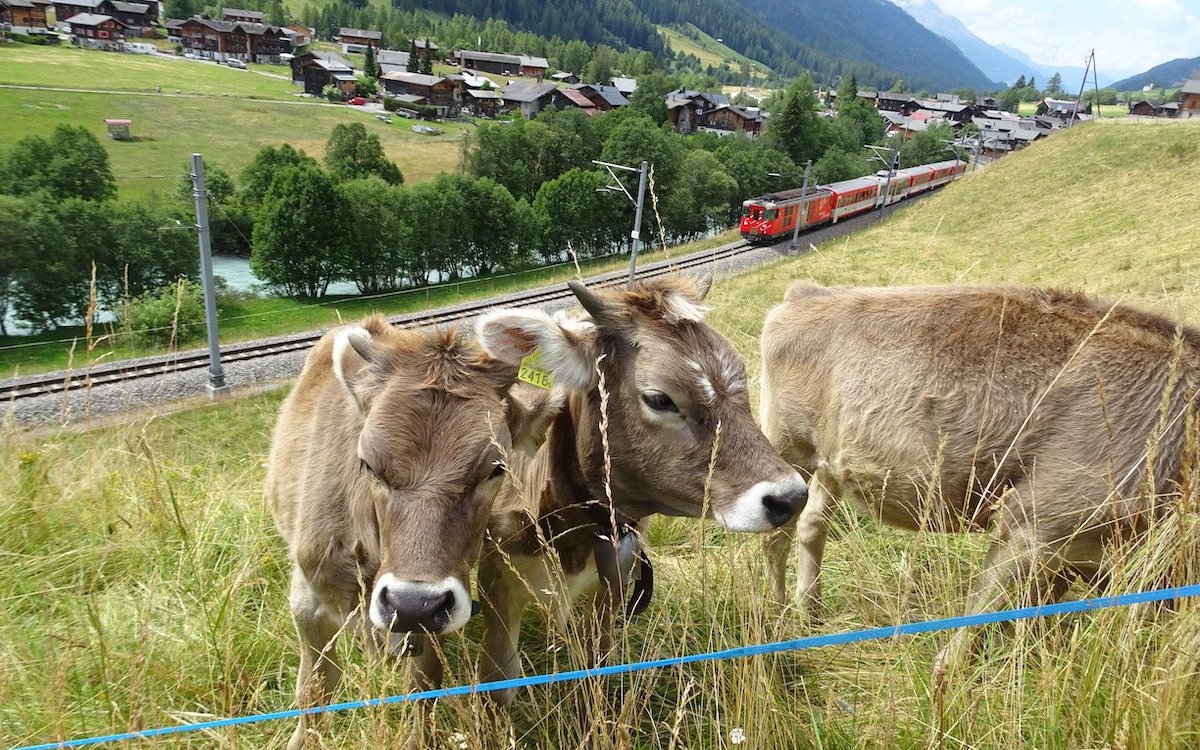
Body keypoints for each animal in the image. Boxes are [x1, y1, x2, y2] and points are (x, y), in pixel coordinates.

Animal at [267, 312, 595, 748]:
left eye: (496, 467)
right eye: (368, 464)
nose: (412, 603)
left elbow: (422, 690)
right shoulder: (308, 602)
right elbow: (313, 694)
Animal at [475, 276, 806, 700]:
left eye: (742, 376)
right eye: (659, 399)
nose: (791, 497)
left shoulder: (613, 582)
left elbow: (596, 664)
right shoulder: (494, 582)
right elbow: (500, 681)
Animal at [758, 283, 1200, 676]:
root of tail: (807, 294)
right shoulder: (1033, 526)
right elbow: (976, 621)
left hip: (829, 466)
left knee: (813, 523)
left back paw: (810, 610)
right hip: (786, 450)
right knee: (775, 538)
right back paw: (778, 617)